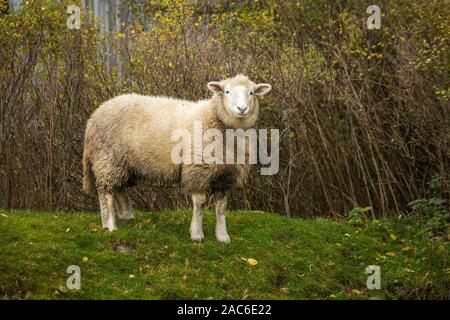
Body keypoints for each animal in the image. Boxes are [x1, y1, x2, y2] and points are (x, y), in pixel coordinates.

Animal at [81, 74, 270, 242]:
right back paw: (110, 225)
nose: (242, 109)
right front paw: (197, 234)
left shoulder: (225, 176)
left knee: (119, 189)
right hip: (107, 159)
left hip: (123, 163)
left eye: (251, 92)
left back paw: (127, 216)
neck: (214, 119)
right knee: (106, 193)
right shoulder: (197, 170)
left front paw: (223, 237)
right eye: (227, 91)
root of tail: (93, 117)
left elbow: (221, 207)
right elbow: (200, 203)